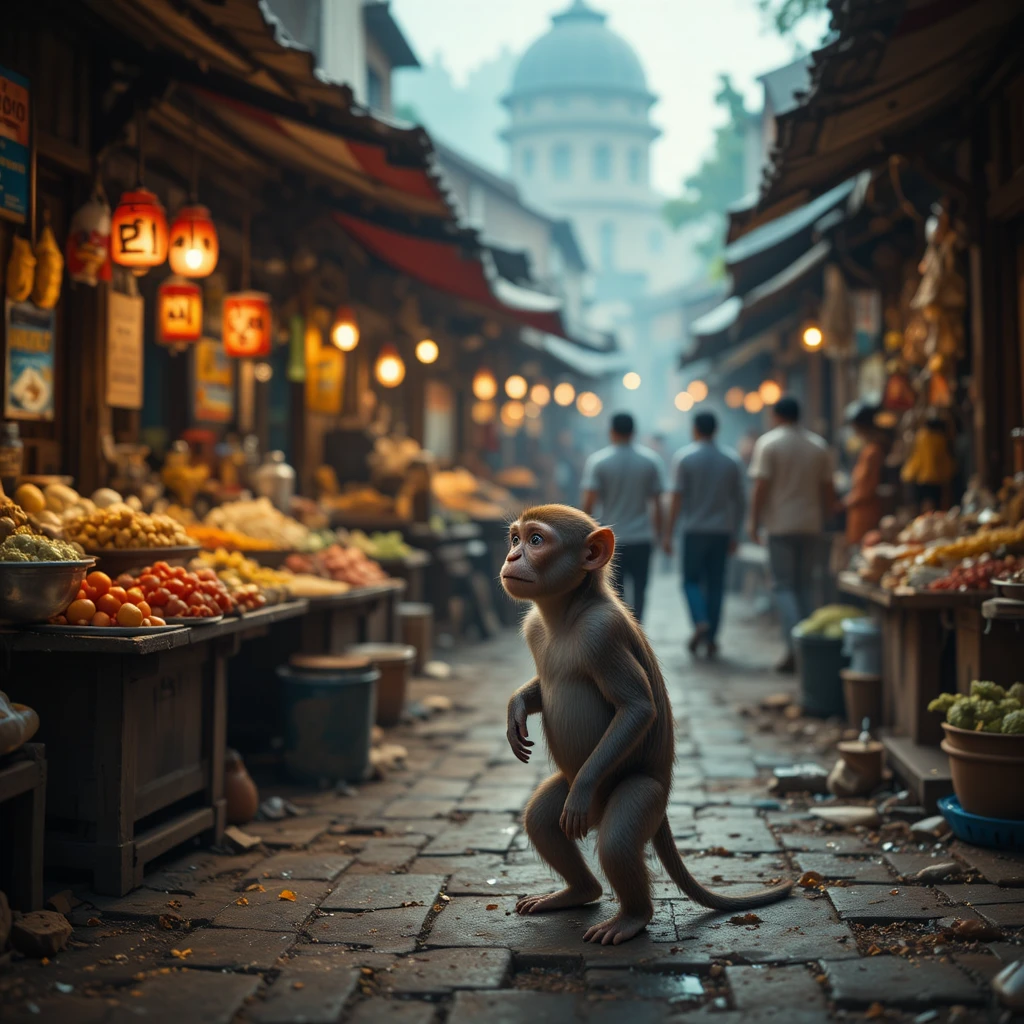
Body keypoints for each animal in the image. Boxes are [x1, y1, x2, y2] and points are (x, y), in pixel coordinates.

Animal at [500, 504, 792, 946]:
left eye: (536, 540)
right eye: (516, 538)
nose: (513, 556)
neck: (566, 615)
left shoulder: (601, 634)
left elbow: (637, 709)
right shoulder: (534, 627)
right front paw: (516, 708)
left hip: (643, 794)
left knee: (617, 839)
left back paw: (631, 917)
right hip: (578, 785)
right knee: (541, 819)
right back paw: (579, 892)